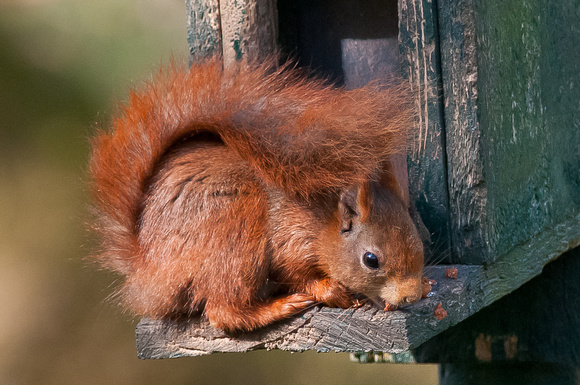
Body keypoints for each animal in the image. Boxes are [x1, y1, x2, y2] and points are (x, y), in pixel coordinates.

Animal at [90, 56, 426, 330]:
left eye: (418, 240)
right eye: (371, 260)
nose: (410, 297)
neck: (323, 222)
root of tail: (147, 266)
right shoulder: (290, 236)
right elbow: (298, 273)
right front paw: (332, 291)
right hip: (236, 232)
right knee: (223, 310)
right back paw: (278, 307)